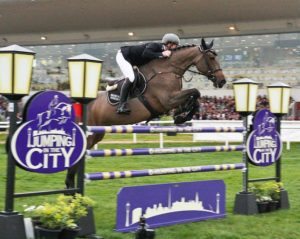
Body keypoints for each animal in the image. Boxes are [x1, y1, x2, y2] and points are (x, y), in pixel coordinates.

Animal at [65, 37, 225, 189]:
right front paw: (182, 116)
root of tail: (78, 104)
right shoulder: (168, 100)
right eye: (211, 58)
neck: (168, 70)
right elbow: (195, 91)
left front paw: (181, 115)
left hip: (97, 134)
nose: (222, 81)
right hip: (90, 135)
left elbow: (195, 97)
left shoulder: (173, 99)